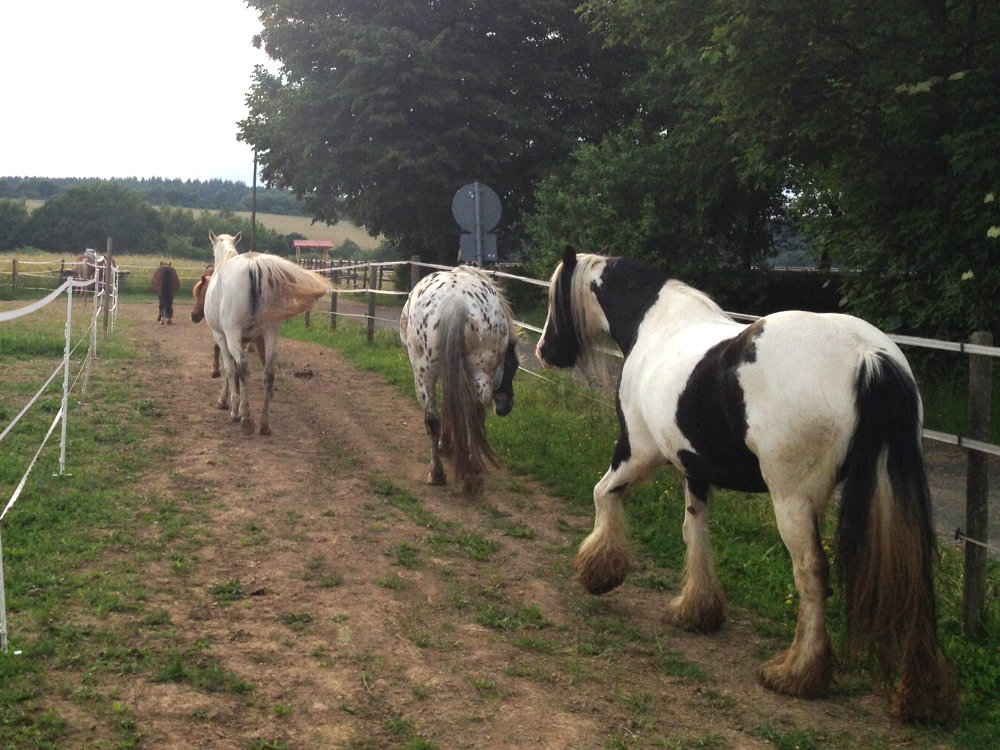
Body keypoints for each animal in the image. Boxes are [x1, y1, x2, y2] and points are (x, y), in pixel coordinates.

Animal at [204, 231, 332, 435]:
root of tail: (253, 265)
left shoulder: (222, 337)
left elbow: (230, 370)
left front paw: (230, 405)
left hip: (233, 335)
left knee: (243, 367)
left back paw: (245, 417)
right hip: (271, 334)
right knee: (269, 372)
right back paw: (264, 424)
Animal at [399, 266, 520, 497]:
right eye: (513, 366)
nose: (506, 406)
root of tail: (455, 303)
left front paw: (446, 444)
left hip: (423, 374)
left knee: (432, 419)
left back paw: (437, 474)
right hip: (478, 374)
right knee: (475, 413)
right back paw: (472, 470)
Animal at [535, 247, 957, 723]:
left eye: (553, 296)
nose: (545, 351)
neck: (656, 325)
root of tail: (868, 356)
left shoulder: (638, 452)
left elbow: (604, 493)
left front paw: (599, 571)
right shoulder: (695, 469)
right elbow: (695, 531)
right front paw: (697, 610)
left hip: (791, 498)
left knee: (811, 572)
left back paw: (797, 672)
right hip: (892, 489)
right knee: (914, 576)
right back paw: (920, 695)